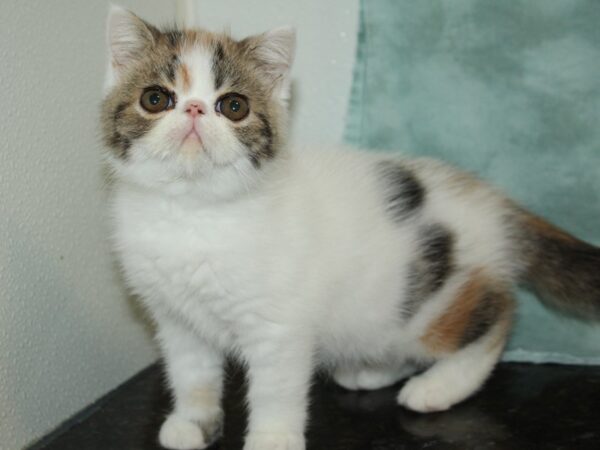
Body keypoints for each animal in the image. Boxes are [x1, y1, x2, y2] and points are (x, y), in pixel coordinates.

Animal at [101, 6, 596, 450]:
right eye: (156, 99)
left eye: (234, 106)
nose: (195, 109)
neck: (193, 210)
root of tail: (493, 204)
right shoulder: (176, 319)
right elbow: (191, 373)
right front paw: (193, 423)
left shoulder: (279, 326)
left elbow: (275, 389)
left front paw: (272, 440)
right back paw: (373, 370)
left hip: (433, 300)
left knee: (497, 317)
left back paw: (438, 386)